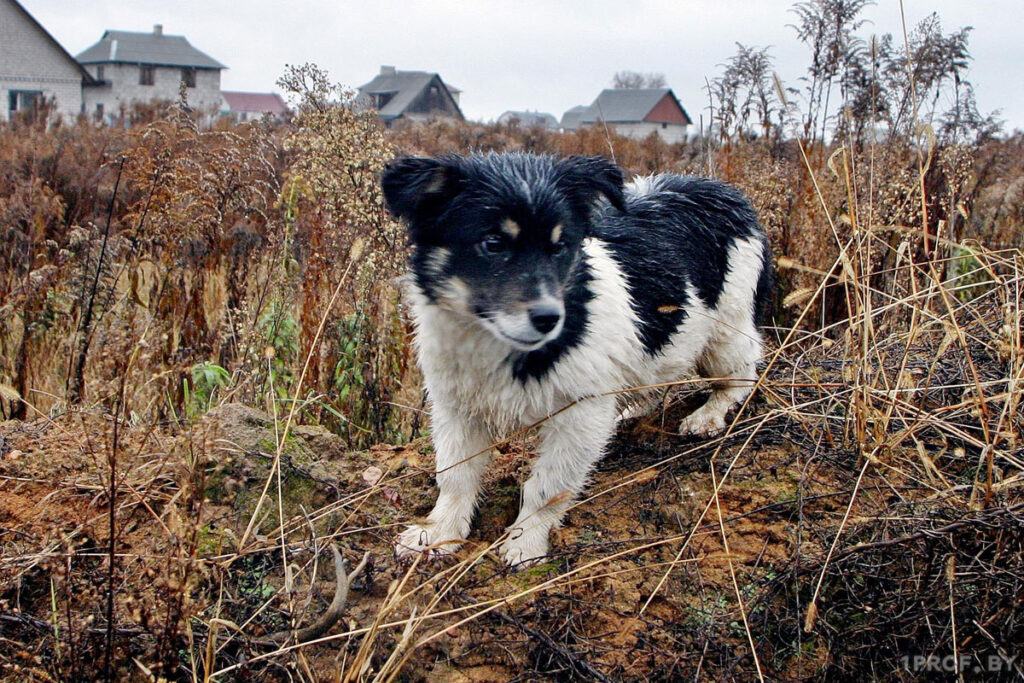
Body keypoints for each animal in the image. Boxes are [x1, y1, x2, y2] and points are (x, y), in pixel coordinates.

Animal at [380, 153, 770, 565]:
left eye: (560, 246)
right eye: (493, 243)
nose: (549, 319)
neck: (498, 344)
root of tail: (724, 191)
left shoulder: (579, 414)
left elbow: (547, 487)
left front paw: (525, 544)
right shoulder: (456, 407)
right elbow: (454, 475)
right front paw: (438, 533)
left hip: (727, 332)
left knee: (741, 376)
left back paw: (709, 414)